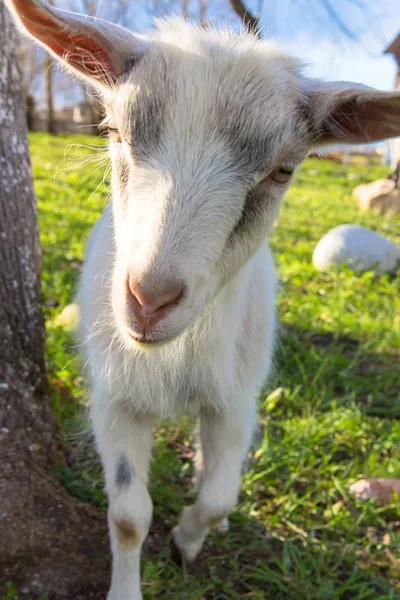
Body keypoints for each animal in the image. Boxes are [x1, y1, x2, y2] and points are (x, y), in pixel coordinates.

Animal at [7, 2, 400, 596]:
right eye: (114, 131)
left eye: (284, 169)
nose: (149, 299)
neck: (171, 358)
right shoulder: (115, 398)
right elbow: (128, 516)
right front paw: (128, 585)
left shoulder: (234, 401)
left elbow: (219, 497)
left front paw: (186, 541)